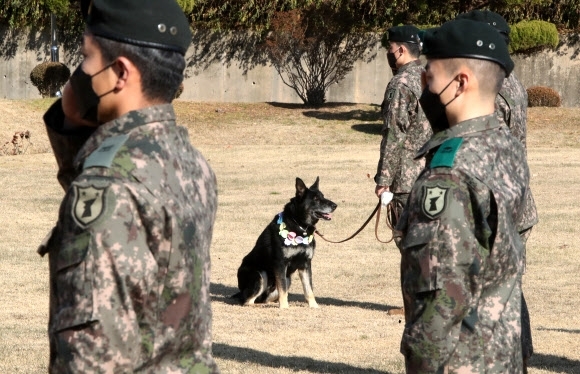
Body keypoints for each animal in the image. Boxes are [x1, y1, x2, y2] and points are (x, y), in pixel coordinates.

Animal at [233, 177, 338, 308]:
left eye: (323, 196)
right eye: (315, 199)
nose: (335, 205)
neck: (300, 225)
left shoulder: (305, 264)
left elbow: (308, 288)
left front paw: (314, 306)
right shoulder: (280, 264)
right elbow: (282, 288)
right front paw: (284, 307)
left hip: (288, 279)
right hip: (260, 274)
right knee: (247, 301)